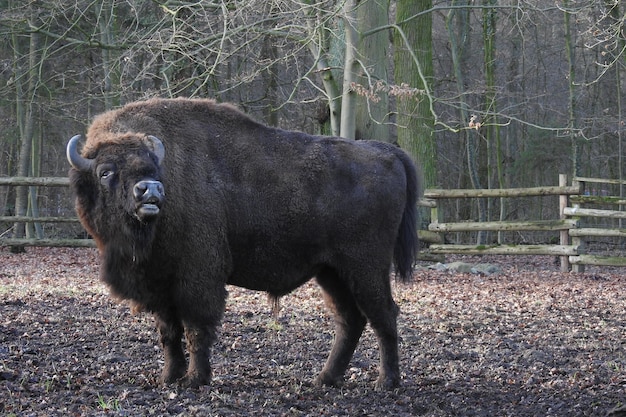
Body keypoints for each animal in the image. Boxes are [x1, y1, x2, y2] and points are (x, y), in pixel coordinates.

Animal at [67, 97, 420, 390]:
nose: (150, 190)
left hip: (365, 267)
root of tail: (386, 152)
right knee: (351, 319)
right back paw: (325, 379)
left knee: (383, 314)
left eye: (154, 168)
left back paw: (386, 382)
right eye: (105, 172)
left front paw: (195, 379)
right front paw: (169, 377)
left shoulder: (198, 278)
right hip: (331, 272)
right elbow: (169, 332)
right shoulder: (160, 285)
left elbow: (196, 327)